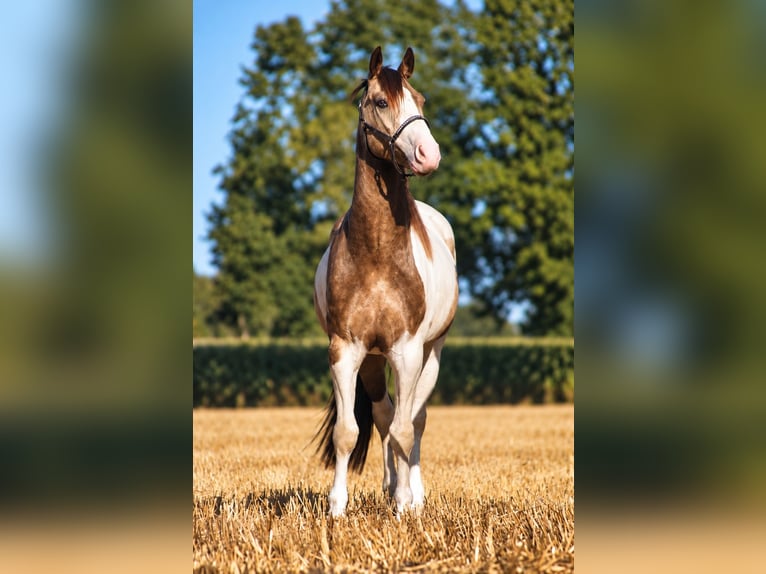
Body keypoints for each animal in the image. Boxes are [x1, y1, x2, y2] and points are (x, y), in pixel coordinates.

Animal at [313, 46, 458, 517]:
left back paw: (412, 493)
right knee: (382, 416)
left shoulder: (408, 352)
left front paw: (404, 507)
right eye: (380, 101)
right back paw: (390, 484)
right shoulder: (346, 350)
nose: (429, 154)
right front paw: (337, 508)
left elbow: (406, 429)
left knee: (414, 419)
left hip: (431, 353)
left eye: (422, 100)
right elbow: (348, 431)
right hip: (375, 361)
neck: (375, 252)